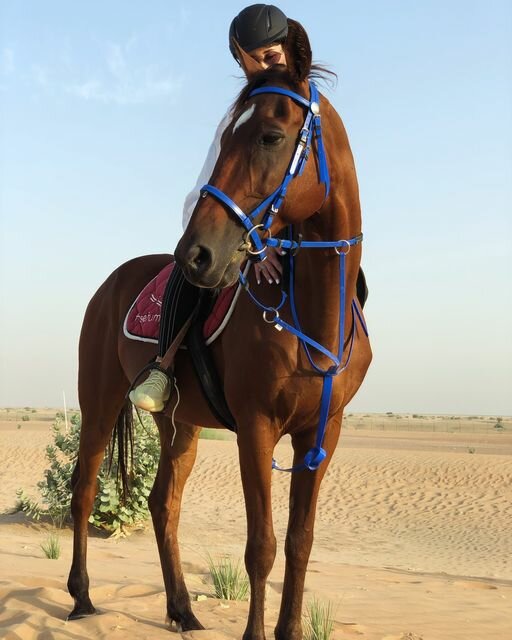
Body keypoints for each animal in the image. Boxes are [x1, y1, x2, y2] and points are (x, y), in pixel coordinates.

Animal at [67, 42, 372, 640]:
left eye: (271, 136)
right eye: (225, 136)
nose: (196, 254)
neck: (311, 320)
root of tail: (109, 284)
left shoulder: (322, 434)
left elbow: (299, 543)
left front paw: (289, 630)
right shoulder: (256, 427)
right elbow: (262, 548)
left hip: (177, 421)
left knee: (163, 504)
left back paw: (182, 609)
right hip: (100, 402)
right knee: (85, 489)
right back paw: (82, 597)